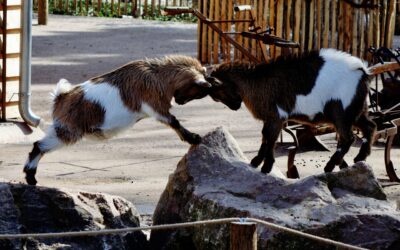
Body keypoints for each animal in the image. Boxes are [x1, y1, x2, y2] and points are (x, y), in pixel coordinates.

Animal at [24, 55, 212, 185]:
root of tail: (61, 97)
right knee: (39, 145)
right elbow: (174, 121)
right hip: (68, 130)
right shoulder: (153, 106)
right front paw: (194, 138)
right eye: (199, 89)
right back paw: (30, 176)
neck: (157, 76)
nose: (180, 101)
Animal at [205, 48, 376, 174]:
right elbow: (264, 137)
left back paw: (329, 166)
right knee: (370, 126)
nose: (235, 106)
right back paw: (359, 158)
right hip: (357, 111)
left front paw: (266, 167)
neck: (256, 82)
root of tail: (362, 71)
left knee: (348, 138)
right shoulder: (270, 118)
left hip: (341, 112)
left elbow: (270, 139)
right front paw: (256, 162)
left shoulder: (276, 117)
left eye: (218, 92)